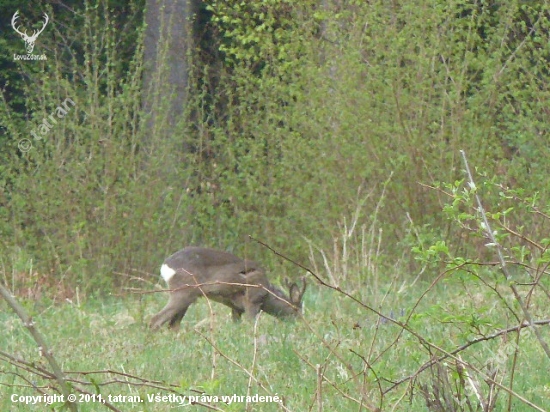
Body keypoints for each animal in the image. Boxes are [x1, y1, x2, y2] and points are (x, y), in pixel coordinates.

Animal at [150, 246, 306, 330]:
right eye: (296, 310)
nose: (301, 324)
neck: (267, 293)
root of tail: (165, 266)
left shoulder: (236, 307)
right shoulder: (252, 300)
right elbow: (251, 324)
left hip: (187, 296)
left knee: (173, 325)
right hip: (183, 291)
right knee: (156, 320)